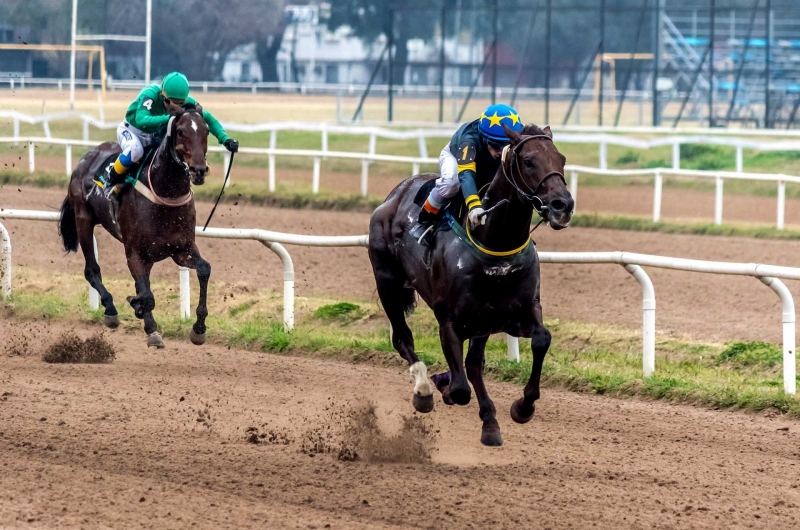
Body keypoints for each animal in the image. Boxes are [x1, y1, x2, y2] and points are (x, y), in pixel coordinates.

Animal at [59, 105, 211, 348]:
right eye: (180, 131)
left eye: (206, 131)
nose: (199, 170)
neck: (165, 195)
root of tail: (87, 157)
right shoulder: (135, 253)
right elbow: (146, 295)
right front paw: (150, 327)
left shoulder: (181, 249)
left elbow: (204, 269)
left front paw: (198, 328)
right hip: (83, 219)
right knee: (92, 270)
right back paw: (110, 309)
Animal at [368, 124, 576, 446]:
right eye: (528, 161)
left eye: (561, 159)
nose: (562, 205)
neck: (495, 242)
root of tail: (396, 193)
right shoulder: (450, 320)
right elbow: (460, 389)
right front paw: (442, 385)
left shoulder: (517, 311)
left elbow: (541, 339)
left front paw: (522, 407)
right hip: (387, 282)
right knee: (403, 339)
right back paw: (424, 389)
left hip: (482, 320)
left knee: (473, 363)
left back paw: (488, 421)